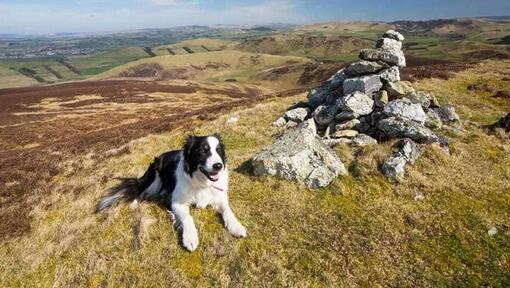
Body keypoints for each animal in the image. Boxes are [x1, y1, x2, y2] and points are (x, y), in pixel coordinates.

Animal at [97, 134, 247, 251]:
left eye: (219, 150)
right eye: (203, 150)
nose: (218, 166)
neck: (202, 182)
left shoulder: (219, 198)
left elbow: (228, 210)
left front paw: (236, 226)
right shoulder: (176, 202)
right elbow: (187, 217)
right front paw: (190, 237)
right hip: (155, 180)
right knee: (139, 190)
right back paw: (134, 203)